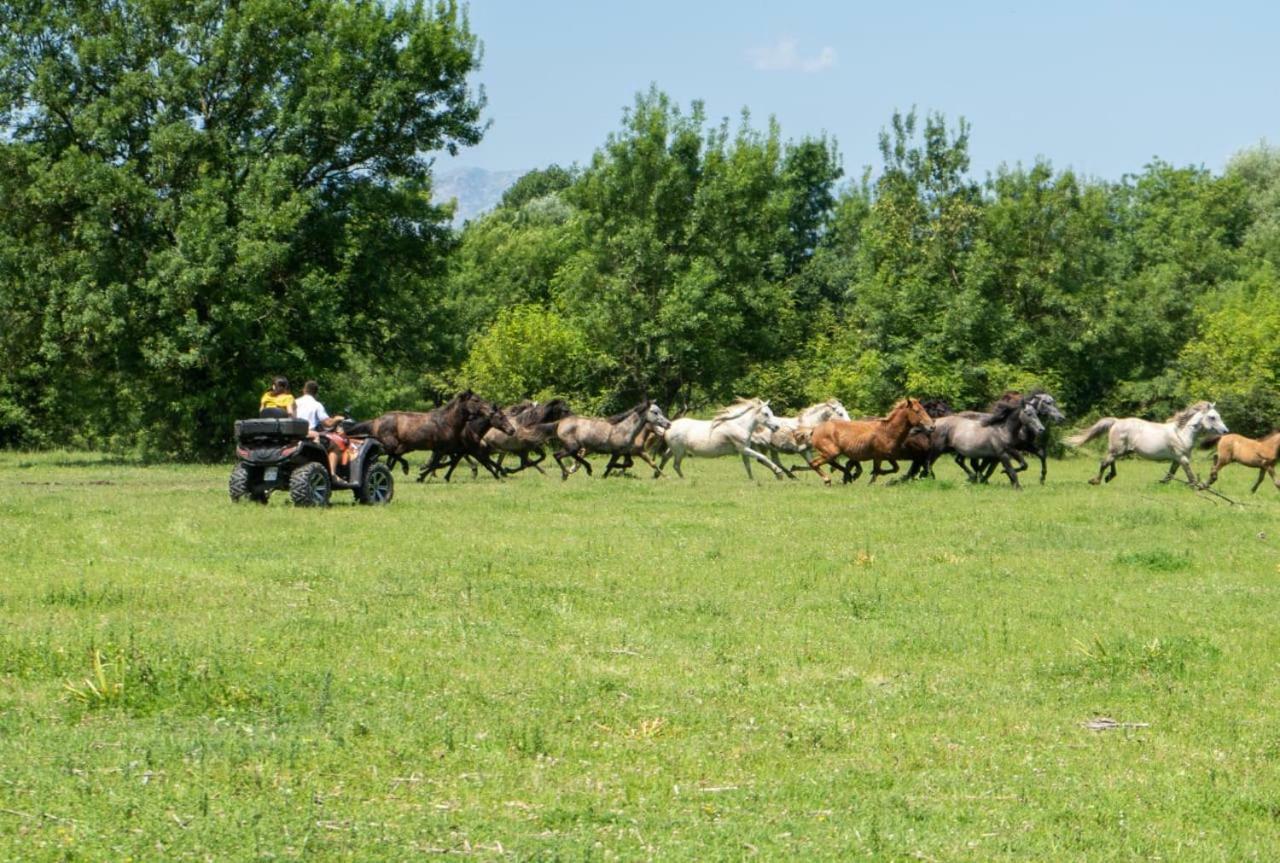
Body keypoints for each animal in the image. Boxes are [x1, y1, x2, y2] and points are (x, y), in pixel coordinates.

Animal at [660, 396, 788, 476]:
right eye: (766, 414)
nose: (777, 427)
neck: (739, 425)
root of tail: (669, 426)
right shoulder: (743, 449)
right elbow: (763, 457)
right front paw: (779, 472)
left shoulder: (744, 451)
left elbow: (748, 467)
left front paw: (755, 482)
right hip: (679, 452)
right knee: (676, 465)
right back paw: (683, 479)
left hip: (674, 450)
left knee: (665, 459)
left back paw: (659, 475)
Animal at [803, 396, 936, 483]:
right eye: (917, 411)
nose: (932, 427)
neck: (887, 431)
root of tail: (815, 430)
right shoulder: (878, 457)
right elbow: (876, 472)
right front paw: (871, 481)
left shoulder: (888, 456)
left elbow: (895, 468)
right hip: (831, 452)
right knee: (814, 463)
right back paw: (828, 480)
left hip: (833, 453)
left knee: (832, 463)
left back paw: (848, 475)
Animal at [1064, 399, 1223, 483]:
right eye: (1212, 417)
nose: (1225, 430)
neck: (1181, 433)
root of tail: (1117, 421)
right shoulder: (1182, 458)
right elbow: (1189, 475)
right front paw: (1198, 487)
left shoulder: (1177, 459)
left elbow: (1170, 474)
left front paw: (1161, 483)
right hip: (1117, 450)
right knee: (1105, 462)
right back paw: (1096, 481)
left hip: (1122, 450)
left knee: (1110, 461)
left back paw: (1109, 477)